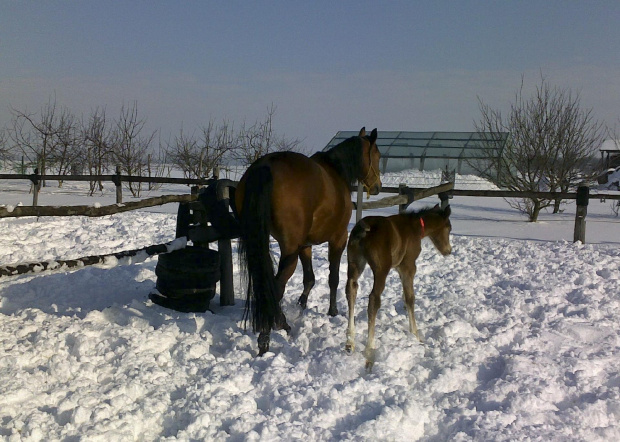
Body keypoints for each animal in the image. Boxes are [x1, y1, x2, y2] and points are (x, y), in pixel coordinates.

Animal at [344, 204, 450, 370]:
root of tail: (363, 229)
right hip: (381, 269)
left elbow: (405, 296)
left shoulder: (400, 269)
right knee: (374, 299)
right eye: (449, 228)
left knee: (351, 290)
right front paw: (415, 335)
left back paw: (350, 342)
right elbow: (410, 298)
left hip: (354, 263)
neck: (415, 227)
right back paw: (370, 351)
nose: (448, 251)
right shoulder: (408, 266)